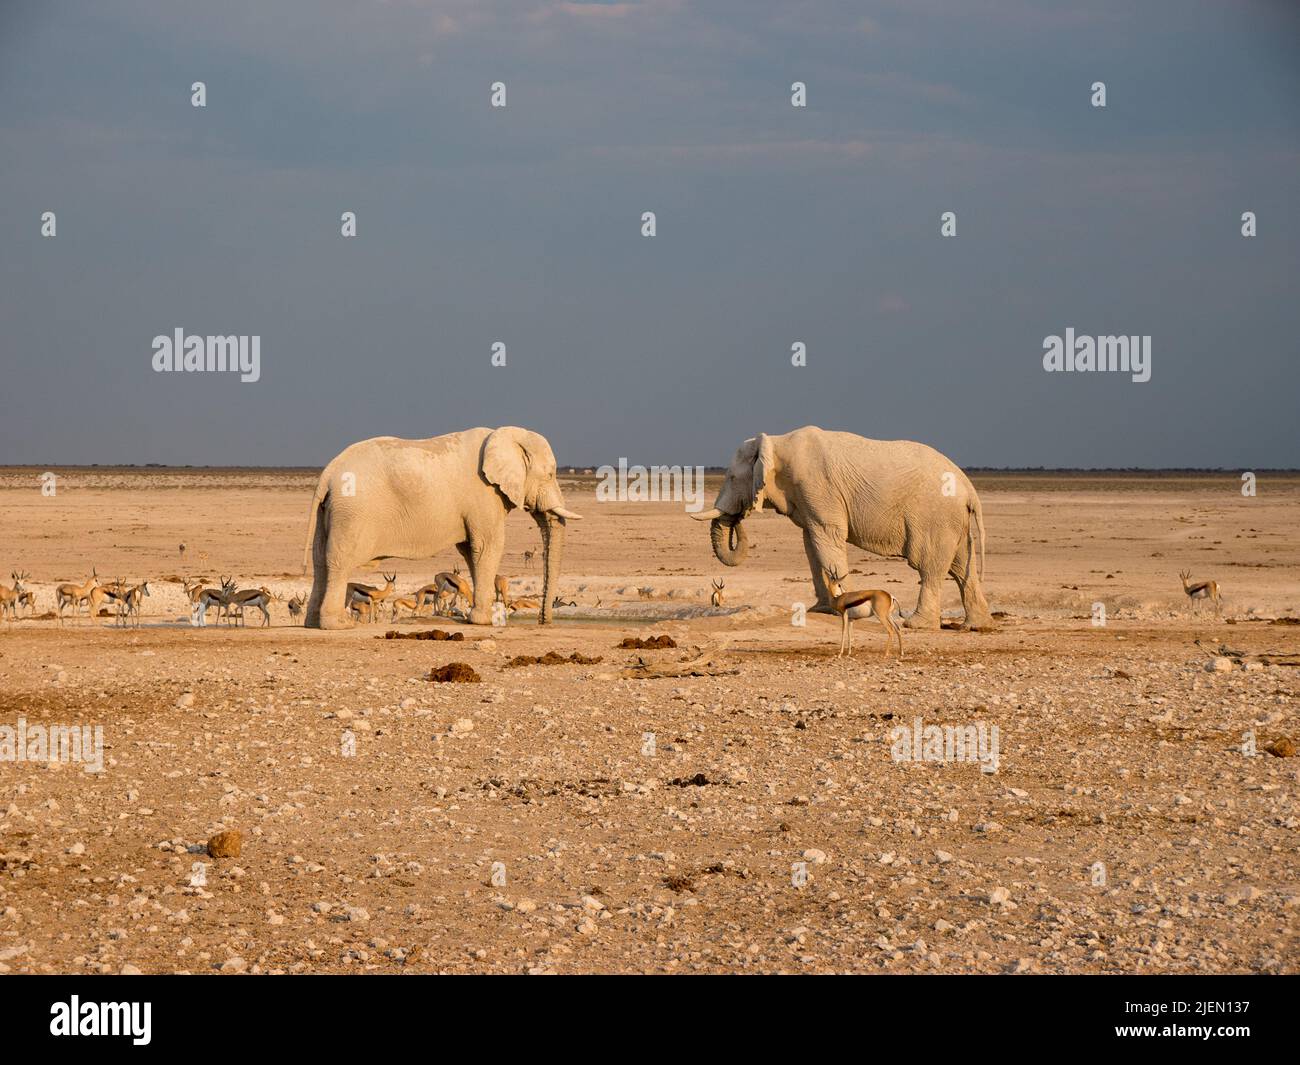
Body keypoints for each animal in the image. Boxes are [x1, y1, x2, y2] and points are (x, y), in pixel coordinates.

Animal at [304, 423, 579, 624]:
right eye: (550, 474)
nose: (544, 621)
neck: (502, 435)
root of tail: (328, 473)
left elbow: (470, 551)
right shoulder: (484, 495)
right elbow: (487, 546)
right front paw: (484, 621)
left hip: (330, 511)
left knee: (319, 560)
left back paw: (312, 623)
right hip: (351, 513)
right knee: (339, 561)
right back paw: (338, 624)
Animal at [696, 423, 987, 629]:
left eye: (732, 478)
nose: (740, 515)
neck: (777, 442)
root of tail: (970, 488)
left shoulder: (819, 489)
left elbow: (827, 540)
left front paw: (851, 611)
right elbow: (811, 544)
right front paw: (821, 610)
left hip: (936, 518)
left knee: (930, 567)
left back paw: (917, 624)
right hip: (953, 521)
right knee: (962, 567)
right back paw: (975, 625)